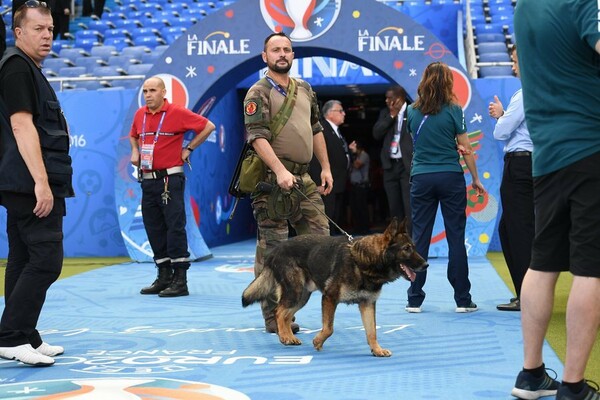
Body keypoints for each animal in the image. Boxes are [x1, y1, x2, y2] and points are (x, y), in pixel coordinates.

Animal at [241, 219, 428, 356]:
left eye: (414, 248)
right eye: (406, 249)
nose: (426, 265)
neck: (363, 261)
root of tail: (276, 250)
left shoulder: (367, 304)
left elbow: (372, 331)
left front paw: (376, 350)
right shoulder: (330, 298)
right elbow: (329, 328)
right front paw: (318, 341)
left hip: (302, 296)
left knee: (285, 315)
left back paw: (288, 336)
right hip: (295, 292)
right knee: (279, 311)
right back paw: (285, 337)